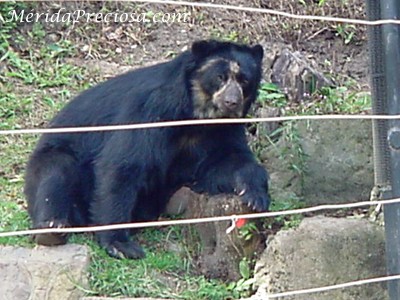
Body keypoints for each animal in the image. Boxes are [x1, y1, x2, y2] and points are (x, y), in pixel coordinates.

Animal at [24, 39, 268, 258]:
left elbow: (226, 161)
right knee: (55, 175)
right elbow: (123, 165)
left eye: (245, 80)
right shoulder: (150, 110)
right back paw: (52, 230)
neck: (196, 117)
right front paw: (120, 245)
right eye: (220, 77)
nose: (232, 102)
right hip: (53, 155)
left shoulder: (222, 129)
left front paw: (254, 196)